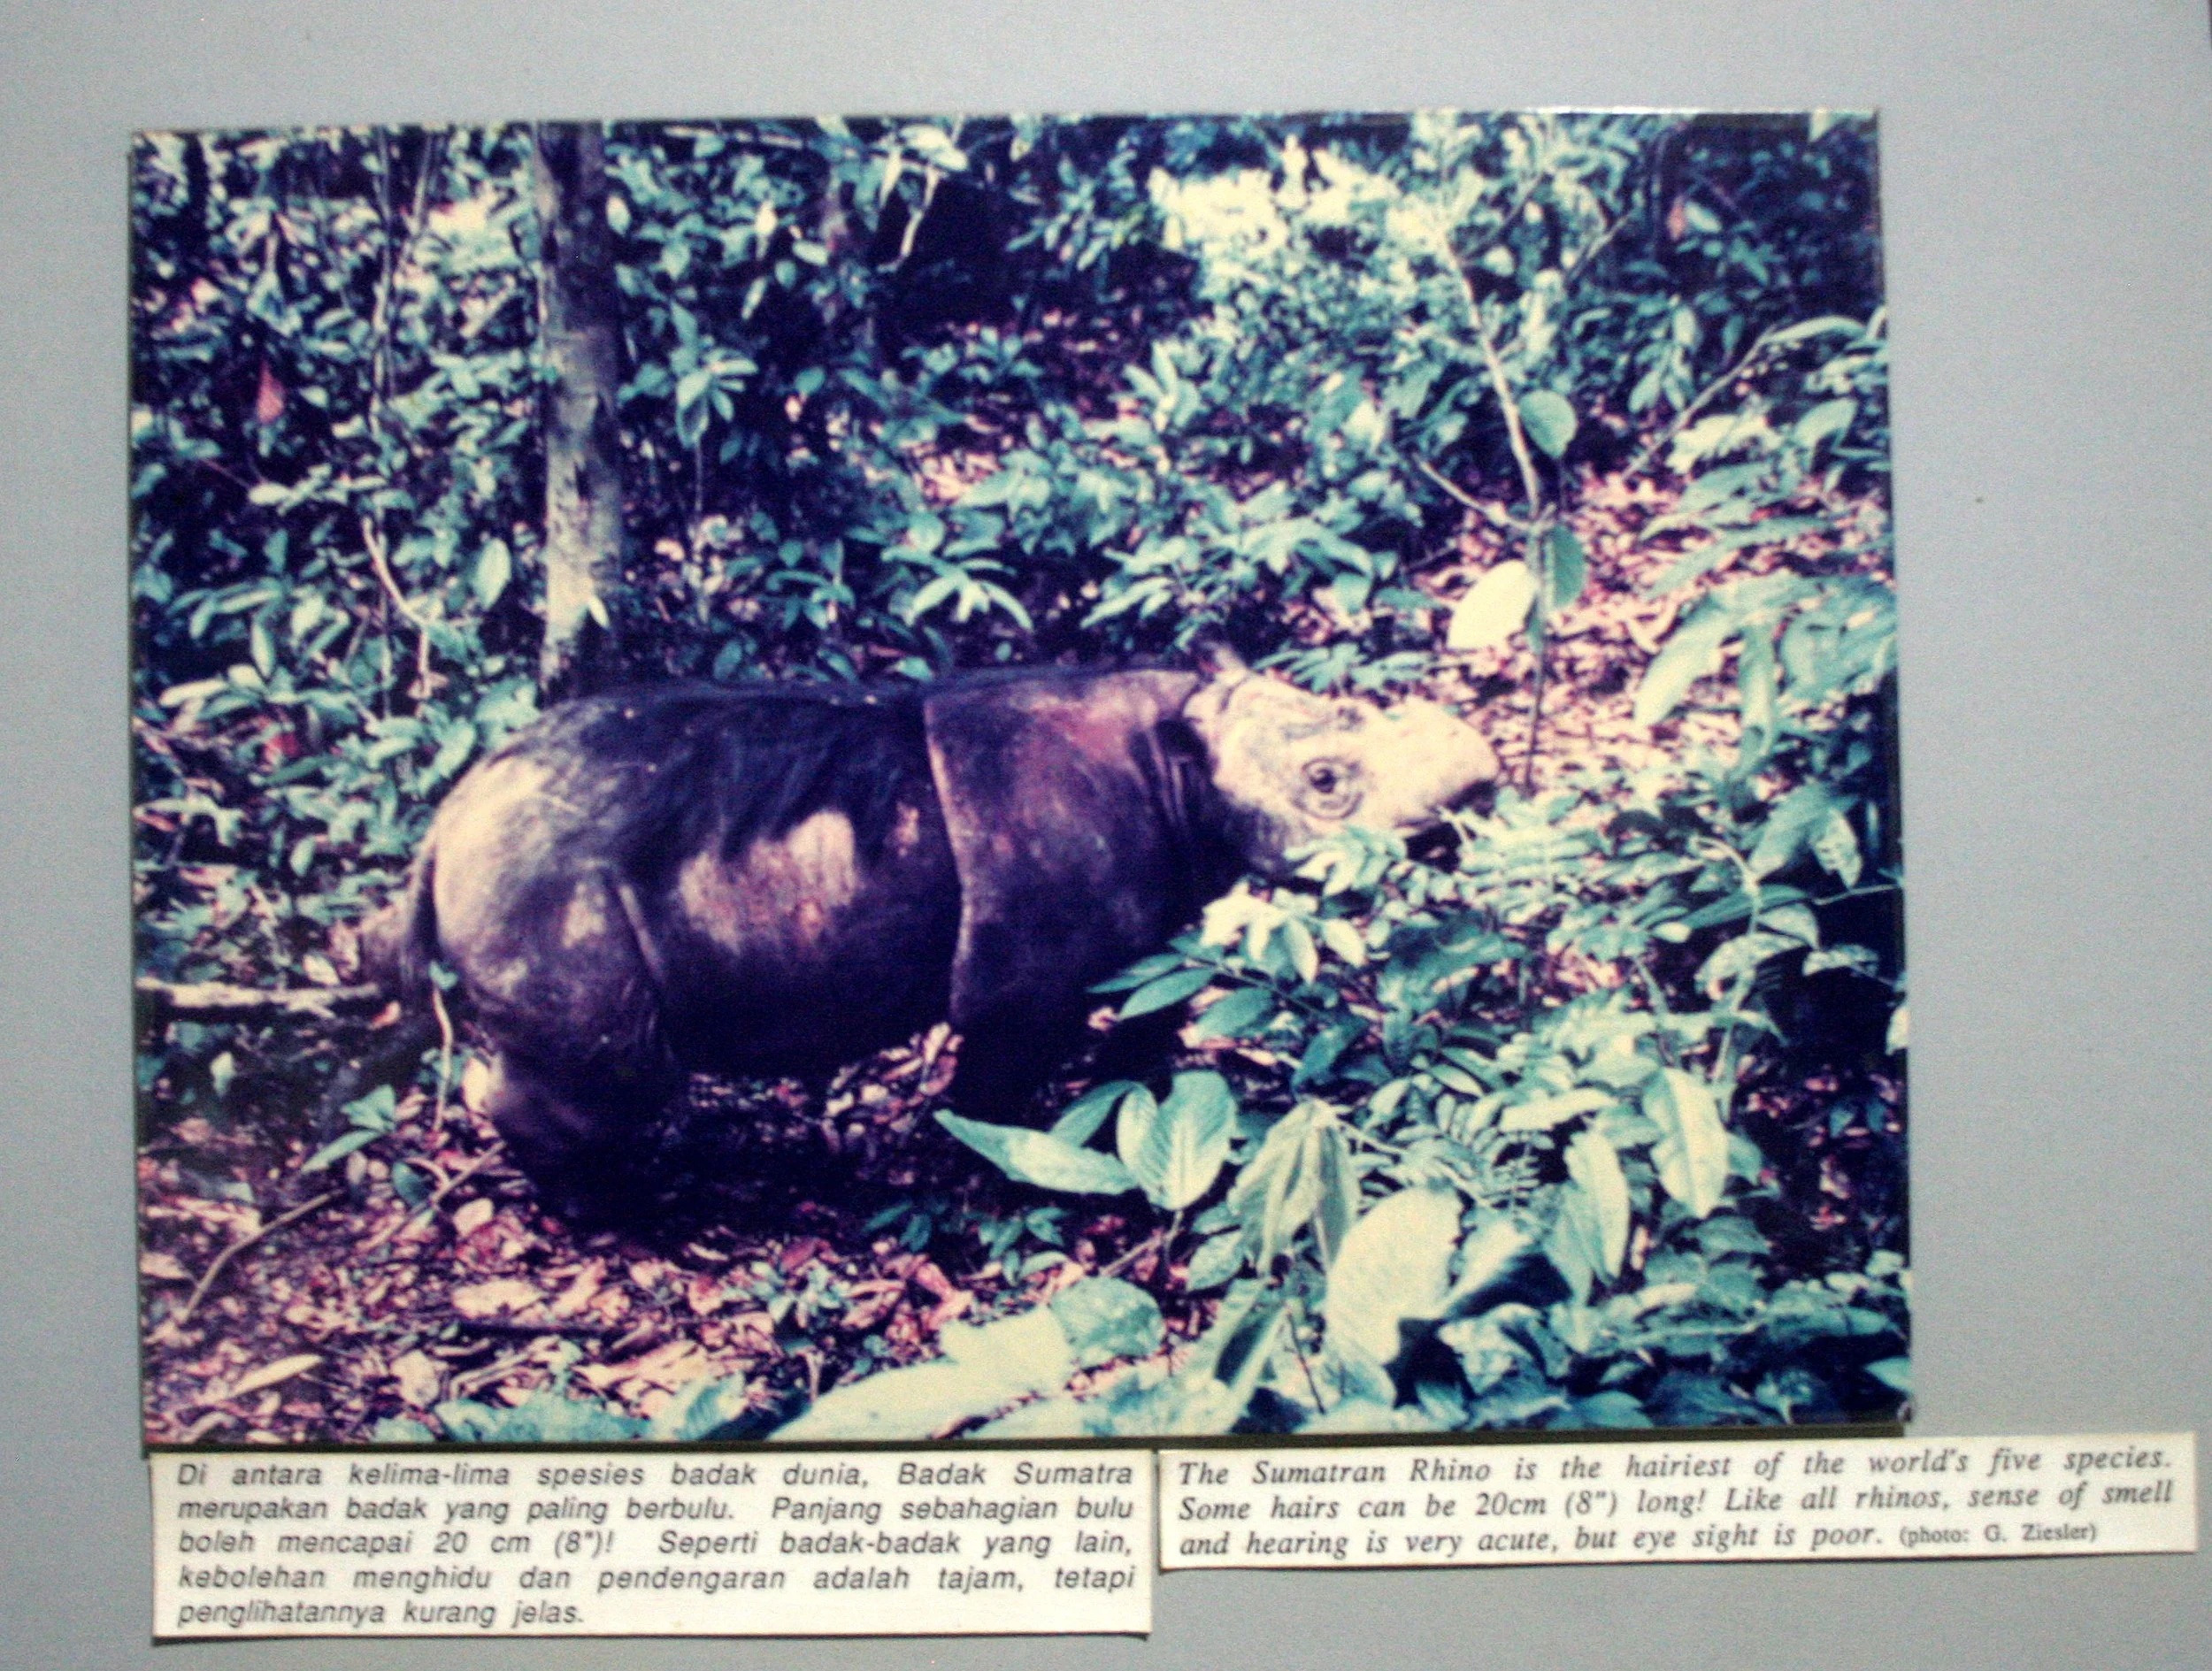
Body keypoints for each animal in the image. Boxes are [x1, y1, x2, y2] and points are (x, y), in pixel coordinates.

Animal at [369, 648, 1497, 1214]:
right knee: (616, 1069)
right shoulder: (1026, 976)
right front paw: (996, 1174)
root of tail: (445, 824)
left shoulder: (1151, 926)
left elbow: (1147, 1038)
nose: (1481, 785)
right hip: (541, 885)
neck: (1181, 759)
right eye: (1326, 782)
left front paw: (1139, 1122)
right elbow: (996, 1085)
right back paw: (615, 1212)